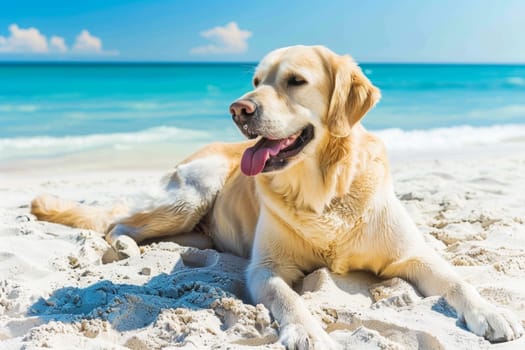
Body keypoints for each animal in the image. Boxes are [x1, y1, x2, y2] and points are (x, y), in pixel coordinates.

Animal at [30, 45, 520, 348]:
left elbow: (457, 279)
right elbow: (291, 299)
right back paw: (126, 246)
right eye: (255, 79)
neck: (325, 193)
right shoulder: (266, 269)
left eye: (295, 81)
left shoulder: (412, 255)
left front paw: (493, 314)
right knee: (118, 221)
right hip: (192, 193)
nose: (238, 109)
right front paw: (308, 333)